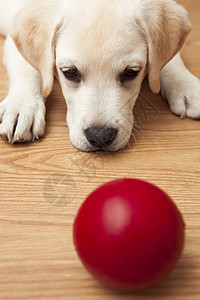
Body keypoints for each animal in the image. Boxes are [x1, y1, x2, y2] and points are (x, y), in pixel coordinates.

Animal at [0, 0, 199, 151]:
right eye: (70, 72)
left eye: (131, 72)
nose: (101, 136)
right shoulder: (13, 35)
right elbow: (27, 67)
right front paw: (22, 107)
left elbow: (170, 60)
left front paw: (187, 86)